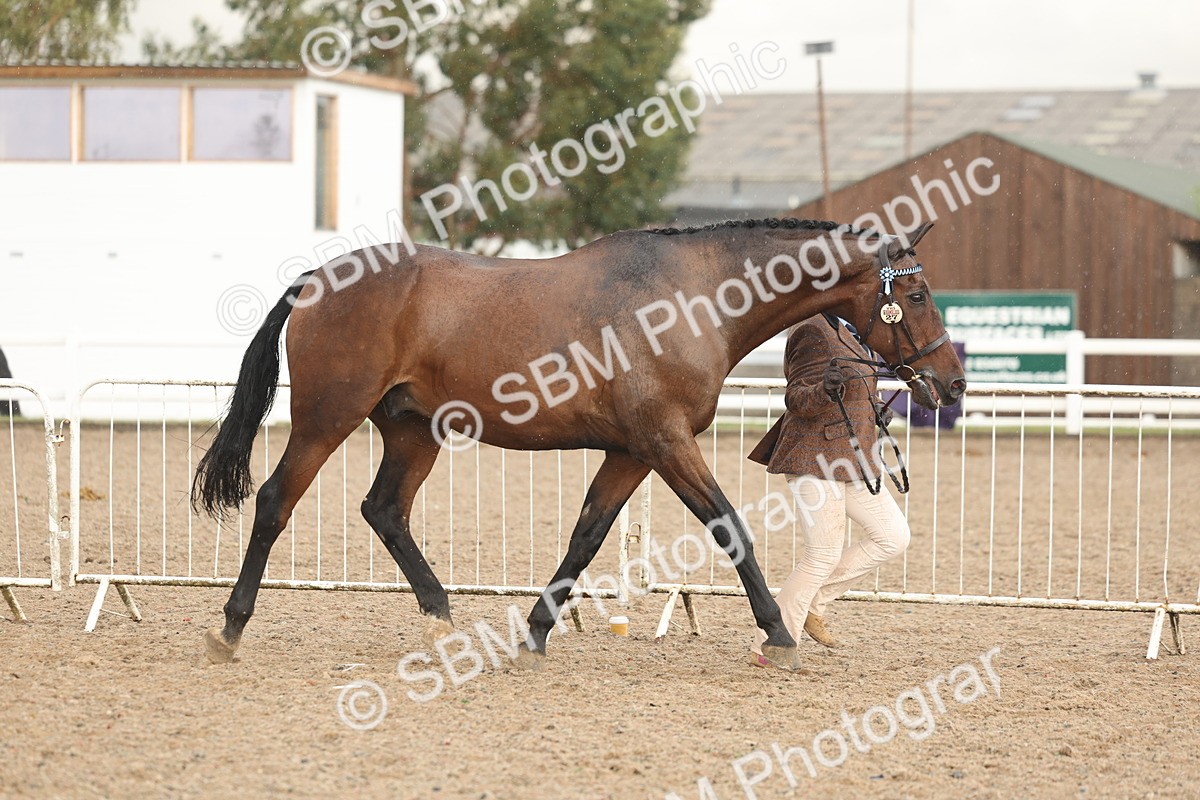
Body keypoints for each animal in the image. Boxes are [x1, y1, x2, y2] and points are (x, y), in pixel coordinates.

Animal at [192, 217, 965, 669]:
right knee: (275, 501)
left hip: (413, 430)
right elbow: (729, 528)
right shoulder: (665, 441)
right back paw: (230, 628)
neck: (691, 297)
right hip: (328, 418)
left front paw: (536, 631)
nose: (951, 383)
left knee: (384, 510)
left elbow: (587, 536)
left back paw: (442, 620)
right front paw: (778, 633)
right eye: (917, 293)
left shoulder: (631, 451)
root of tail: (317, 279)